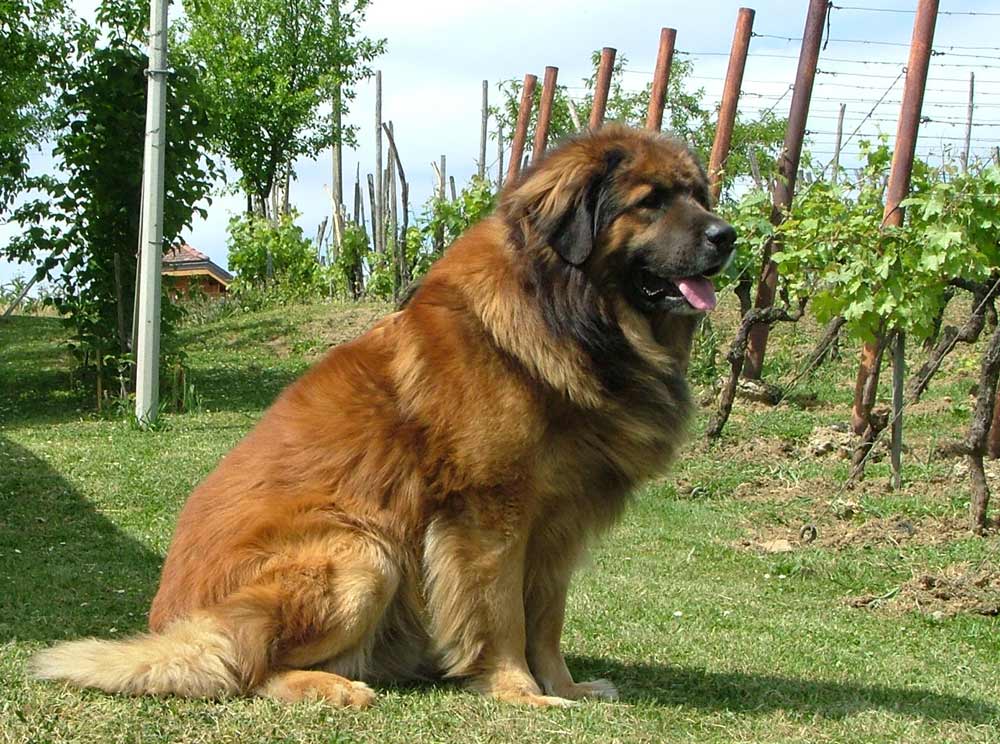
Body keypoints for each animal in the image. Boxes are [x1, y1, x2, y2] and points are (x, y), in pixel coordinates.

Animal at [33, 125, 736, 708]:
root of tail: (170, 623)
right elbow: (503, 617)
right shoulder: (489, 516)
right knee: (243, 667)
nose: (727, 236)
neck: (564, 316)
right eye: (651, 201)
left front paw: (565, 688)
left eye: (697, 195)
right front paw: (521, 694)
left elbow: (546, 621)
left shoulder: (558, 525)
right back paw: (331, 688)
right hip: (364, 555)